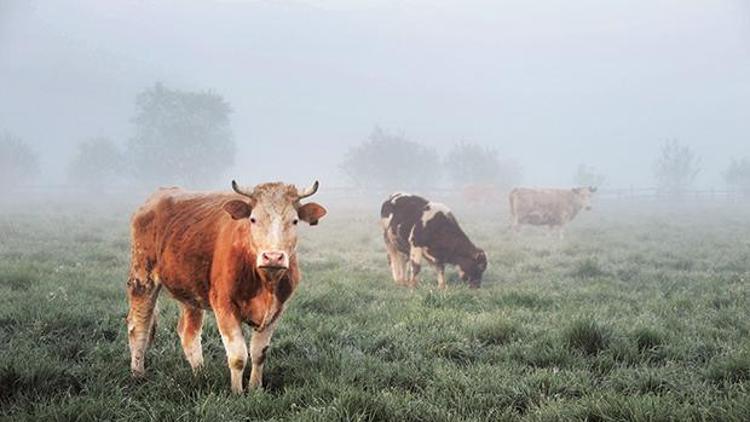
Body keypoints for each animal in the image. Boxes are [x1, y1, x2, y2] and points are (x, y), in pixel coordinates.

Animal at [125, 180, 326, 394]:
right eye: (253, 219)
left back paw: (201, 374)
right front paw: (237, 393)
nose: (273, 257)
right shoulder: (224, 305)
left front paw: (255, 389)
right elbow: (238, 356)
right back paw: (138, 374)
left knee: (188, 333)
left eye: (294, 221)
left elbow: (259, 353)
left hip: (189, 290)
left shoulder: (277, 309)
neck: (265, 283)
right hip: (142, 276)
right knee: (138, 326)